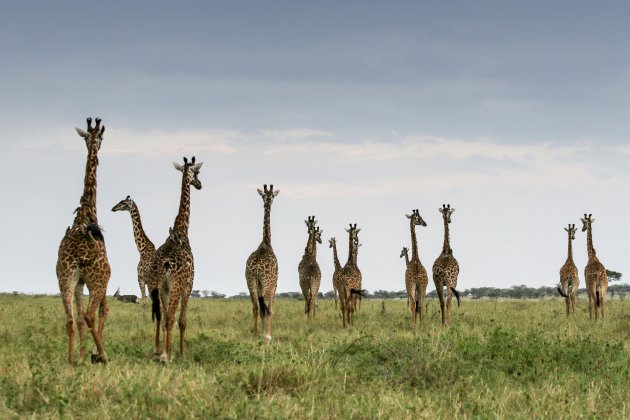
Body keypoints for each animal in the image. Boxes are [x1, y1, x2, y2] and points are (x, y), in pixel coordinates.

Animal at [148, 155, 202, 360]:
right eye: (197, 172)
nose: (199, 184)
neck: (181, 229)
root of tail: (164, 264)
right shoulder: (188, 286)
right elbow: (183, 320)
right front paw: (180, 353)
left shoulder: (164, 288)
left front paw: (169, 351)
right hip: (175, 287)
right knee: (170, 317)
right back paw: (167, 357)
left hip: (159, 287)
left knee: (163, 318)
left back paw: (163, 353)